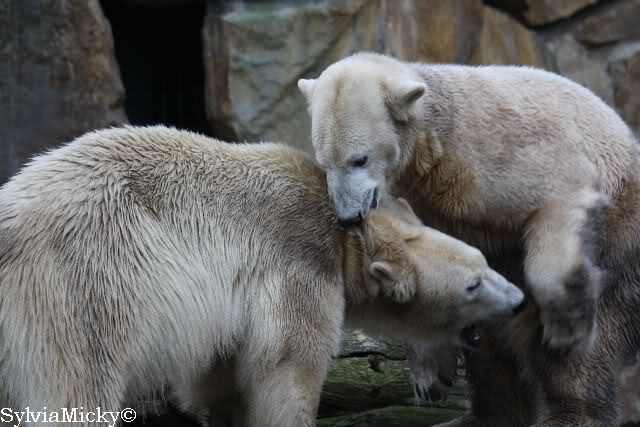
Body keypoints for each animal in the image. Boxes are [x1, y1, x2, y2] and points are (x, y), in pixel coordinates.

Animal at [0, 125, 524, 427]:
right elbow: (288, 364)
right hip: (83, 285)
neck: (344, 231)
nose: (519, 299)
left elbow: (217, 378)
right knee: (79, 390)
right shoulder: (299, 260)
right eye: (474, 283)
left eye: (483, 261)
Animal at [298, 52, 640, 426]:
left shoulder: (499, 155)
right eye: (324, 162)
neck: (437, 140)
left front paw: (565, 327)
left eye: (359, 159)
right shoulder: (419, 196)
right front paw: (430, 375)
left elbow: (560, 200)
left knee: (588, 351)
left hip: (622, 231)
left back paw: (571, 411)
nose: (348, 216)